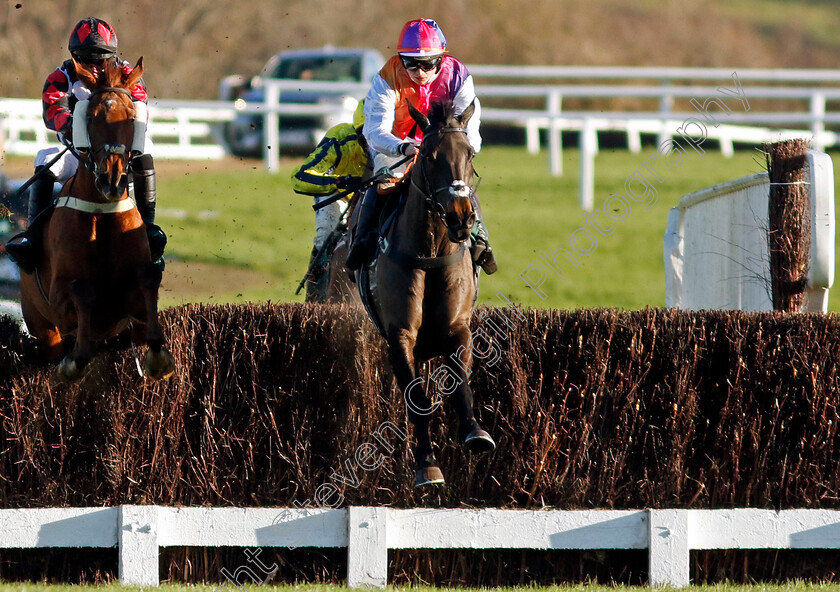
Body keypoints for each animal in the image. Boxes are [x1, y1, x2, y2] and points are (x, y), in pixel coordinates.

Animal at [19, 56, 175, 384]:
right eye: (89, 118)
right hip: (43, 329)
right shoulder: (59, 302)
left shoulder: (134, 310)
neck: (102, 215)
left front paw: (159, 359)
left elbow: (147, 279)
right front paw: (74, 363)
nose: (111, 180)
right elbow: (83, 292)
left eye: (131, 117)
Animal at [352, 100, 492, 486]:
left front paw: (476, 433)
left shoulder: (457, 326)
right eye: (428, 156)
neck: (429, 253)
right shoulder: (400, 334)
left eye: (470, 153)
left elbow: (460, 380)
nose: (461, 217)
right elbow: (416, 400)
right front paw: (427, 464)